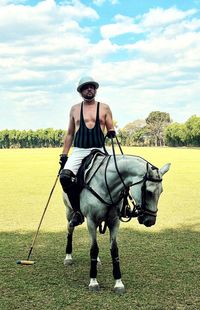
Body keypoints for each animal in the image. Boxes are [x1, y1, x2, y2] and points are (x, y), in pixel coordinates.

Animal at [62, 154, 170, 294]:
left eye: (161, 191)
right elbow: (94, 249)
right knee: (70, 229)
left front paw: (118, 282)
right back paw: (68, 257)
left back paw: (97, 261)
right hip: (69, 211)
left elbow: (114, 249)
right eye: (149, 192)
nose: (150, 221)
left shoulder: (114, 221)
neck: (107, 185)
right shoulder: (91, 220)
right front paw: (93, 281)